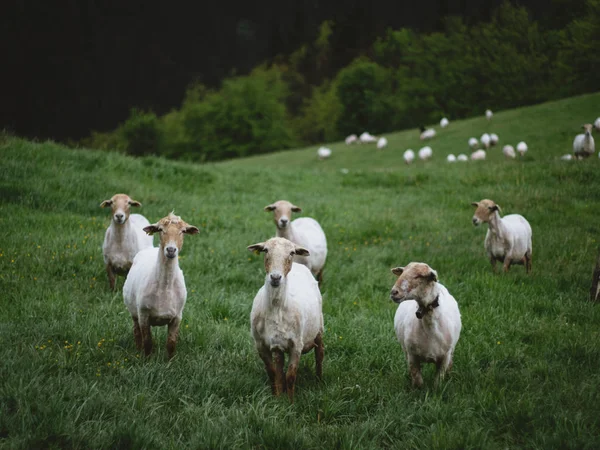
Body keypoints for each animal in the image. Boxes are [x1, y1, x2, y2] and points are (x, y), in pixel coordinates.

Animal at [123, 212, 199, 358]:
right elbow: (147, 343)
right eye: (161, 230)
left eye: (183, 231)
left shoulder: (177, 317)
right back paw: (137, 351)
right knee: (137, 333)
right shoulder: (143, 315)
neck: (165, 287)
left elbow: (171, 344)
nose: (171, 250)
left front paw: (169, 361)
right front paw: (146, 360)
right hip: (134, 312)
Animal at [247, 237, 324, 402]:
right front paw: (276, 398)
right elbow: (272, 372)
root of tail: (299, 266)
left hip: (319, 327)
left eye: (292, 253)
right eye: (265, 250)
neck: (277, 309)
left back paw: (320, 381)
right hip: (278, 344)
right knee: (279, 366)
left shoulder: (296, 345)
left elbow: (290, 376)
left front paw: (290, 402)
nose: (275, 277)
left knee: (320, 353)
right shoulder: (261, 345)